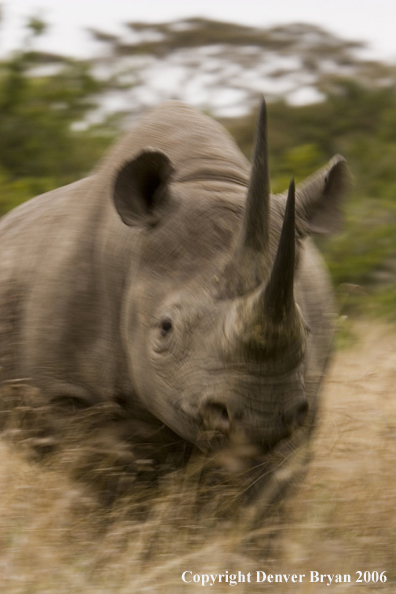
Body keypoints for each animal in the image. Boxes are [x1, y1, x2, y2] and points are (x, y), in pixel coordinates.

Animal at [0, 99, 346, 502]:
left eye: (307, 330)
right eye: (165, 329)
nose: (259, 416)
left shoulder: (306, 403)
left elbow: (263, 490)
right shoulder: (65, 393)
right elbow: (105, 481)